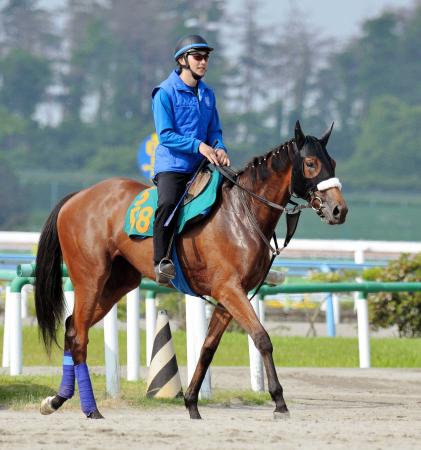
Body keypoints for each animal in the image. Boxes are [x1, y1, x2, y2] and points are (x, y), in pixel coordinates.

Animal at [35, 119, 344, 418]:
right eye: (311, 164)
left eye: (333, 162)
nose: (339, 210)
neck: (242, 214)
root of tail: (77, 197)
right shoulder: (230, 290)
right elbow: (262, 338)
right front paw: (279, 402)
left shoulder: (229, 297)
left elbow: (207, 348)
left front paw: (192, 402)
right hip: (90, 280)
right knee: (80, 336)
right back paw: (91, 408)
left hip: (117, 284)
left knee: (72, 327)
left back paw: (57, 400)